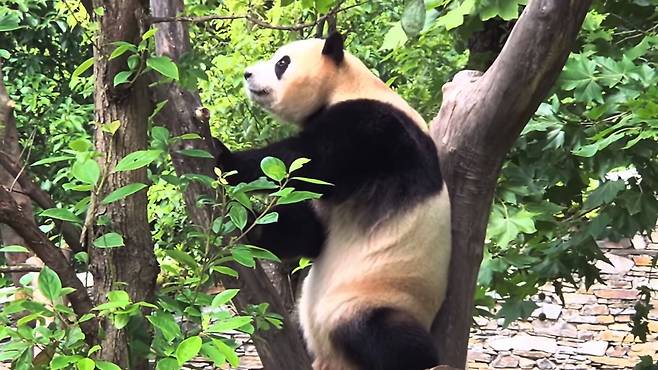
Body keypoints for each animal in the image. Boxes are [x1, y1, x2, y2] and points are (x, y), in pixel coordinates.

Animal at [213, 32, 448, 370]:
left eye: (282, 63)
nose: (247, 74)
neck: (347, 84)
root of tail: (332, 359)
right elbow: (309, 235)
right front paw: (254, 226)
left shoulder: (374, 129)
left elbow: (307, 162)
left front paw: (225, 158)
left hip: (378, 297)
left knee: (390, 337)